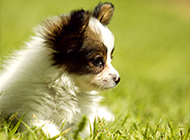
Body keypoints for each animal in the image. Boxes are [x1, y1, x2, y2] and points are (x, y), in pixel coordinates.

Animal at [0, 2, 120, 139]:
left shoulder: (78, 122)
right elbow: (51, 131)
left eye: (110, 58)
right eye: (98, 61)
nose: (118, 79)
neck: (67, 86)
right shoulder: (32, 115)